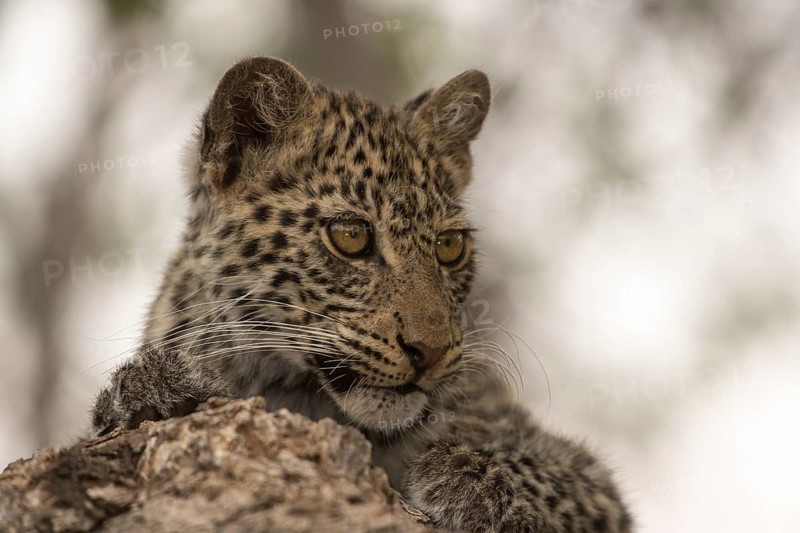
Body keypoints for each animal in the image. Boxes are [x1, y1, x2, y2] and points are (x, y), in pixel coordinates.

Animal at [91, 56, 632, 532]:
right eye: (350, 236)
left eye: (450, 246)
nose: (430, 352)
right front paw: (150, 388)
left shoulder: (591, 479)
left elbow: (554, 477)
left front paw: (473, 478)